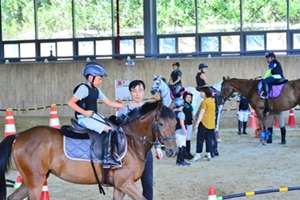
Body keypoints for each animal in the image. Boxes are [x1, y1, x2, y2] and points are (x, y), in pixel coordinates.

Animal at [0, 101, 177, 200]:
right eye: (161, 124)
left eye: (175, 123)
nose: (173, 150)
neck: (131, 141)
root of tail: (20, 135)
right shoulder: (125, 184)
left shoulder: (119, 187)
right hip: (36, 183)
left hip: (30, 182)